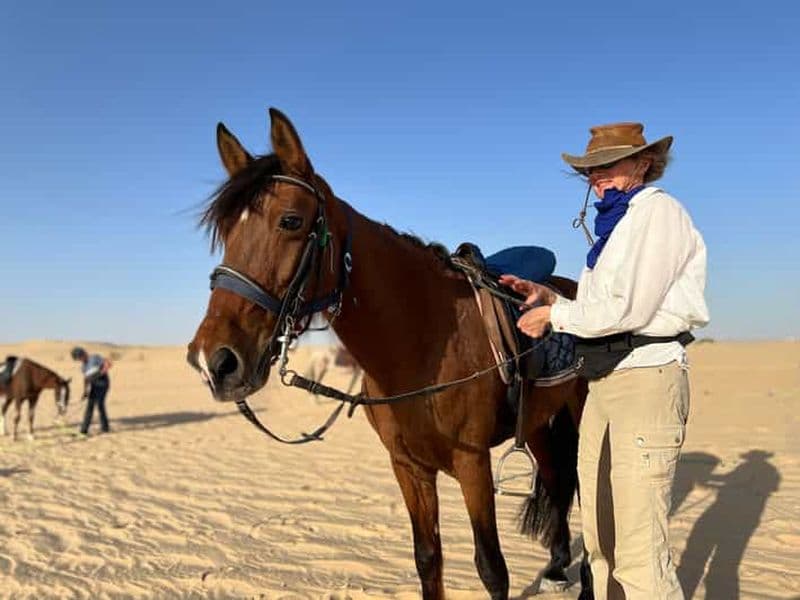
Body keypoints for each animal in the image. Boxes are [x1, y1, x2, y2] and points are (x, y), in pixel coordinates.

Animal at [187, 108, 591, 599]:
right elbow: (428, 560)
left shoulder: (473, 465)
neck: (422, 342)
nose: (215, 361)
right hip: (535, 422)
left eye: (290, 221)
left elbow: (492, 568)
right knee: (556, 478)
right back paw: (557, 566)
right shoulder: (408, 467)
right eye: (226, 232)